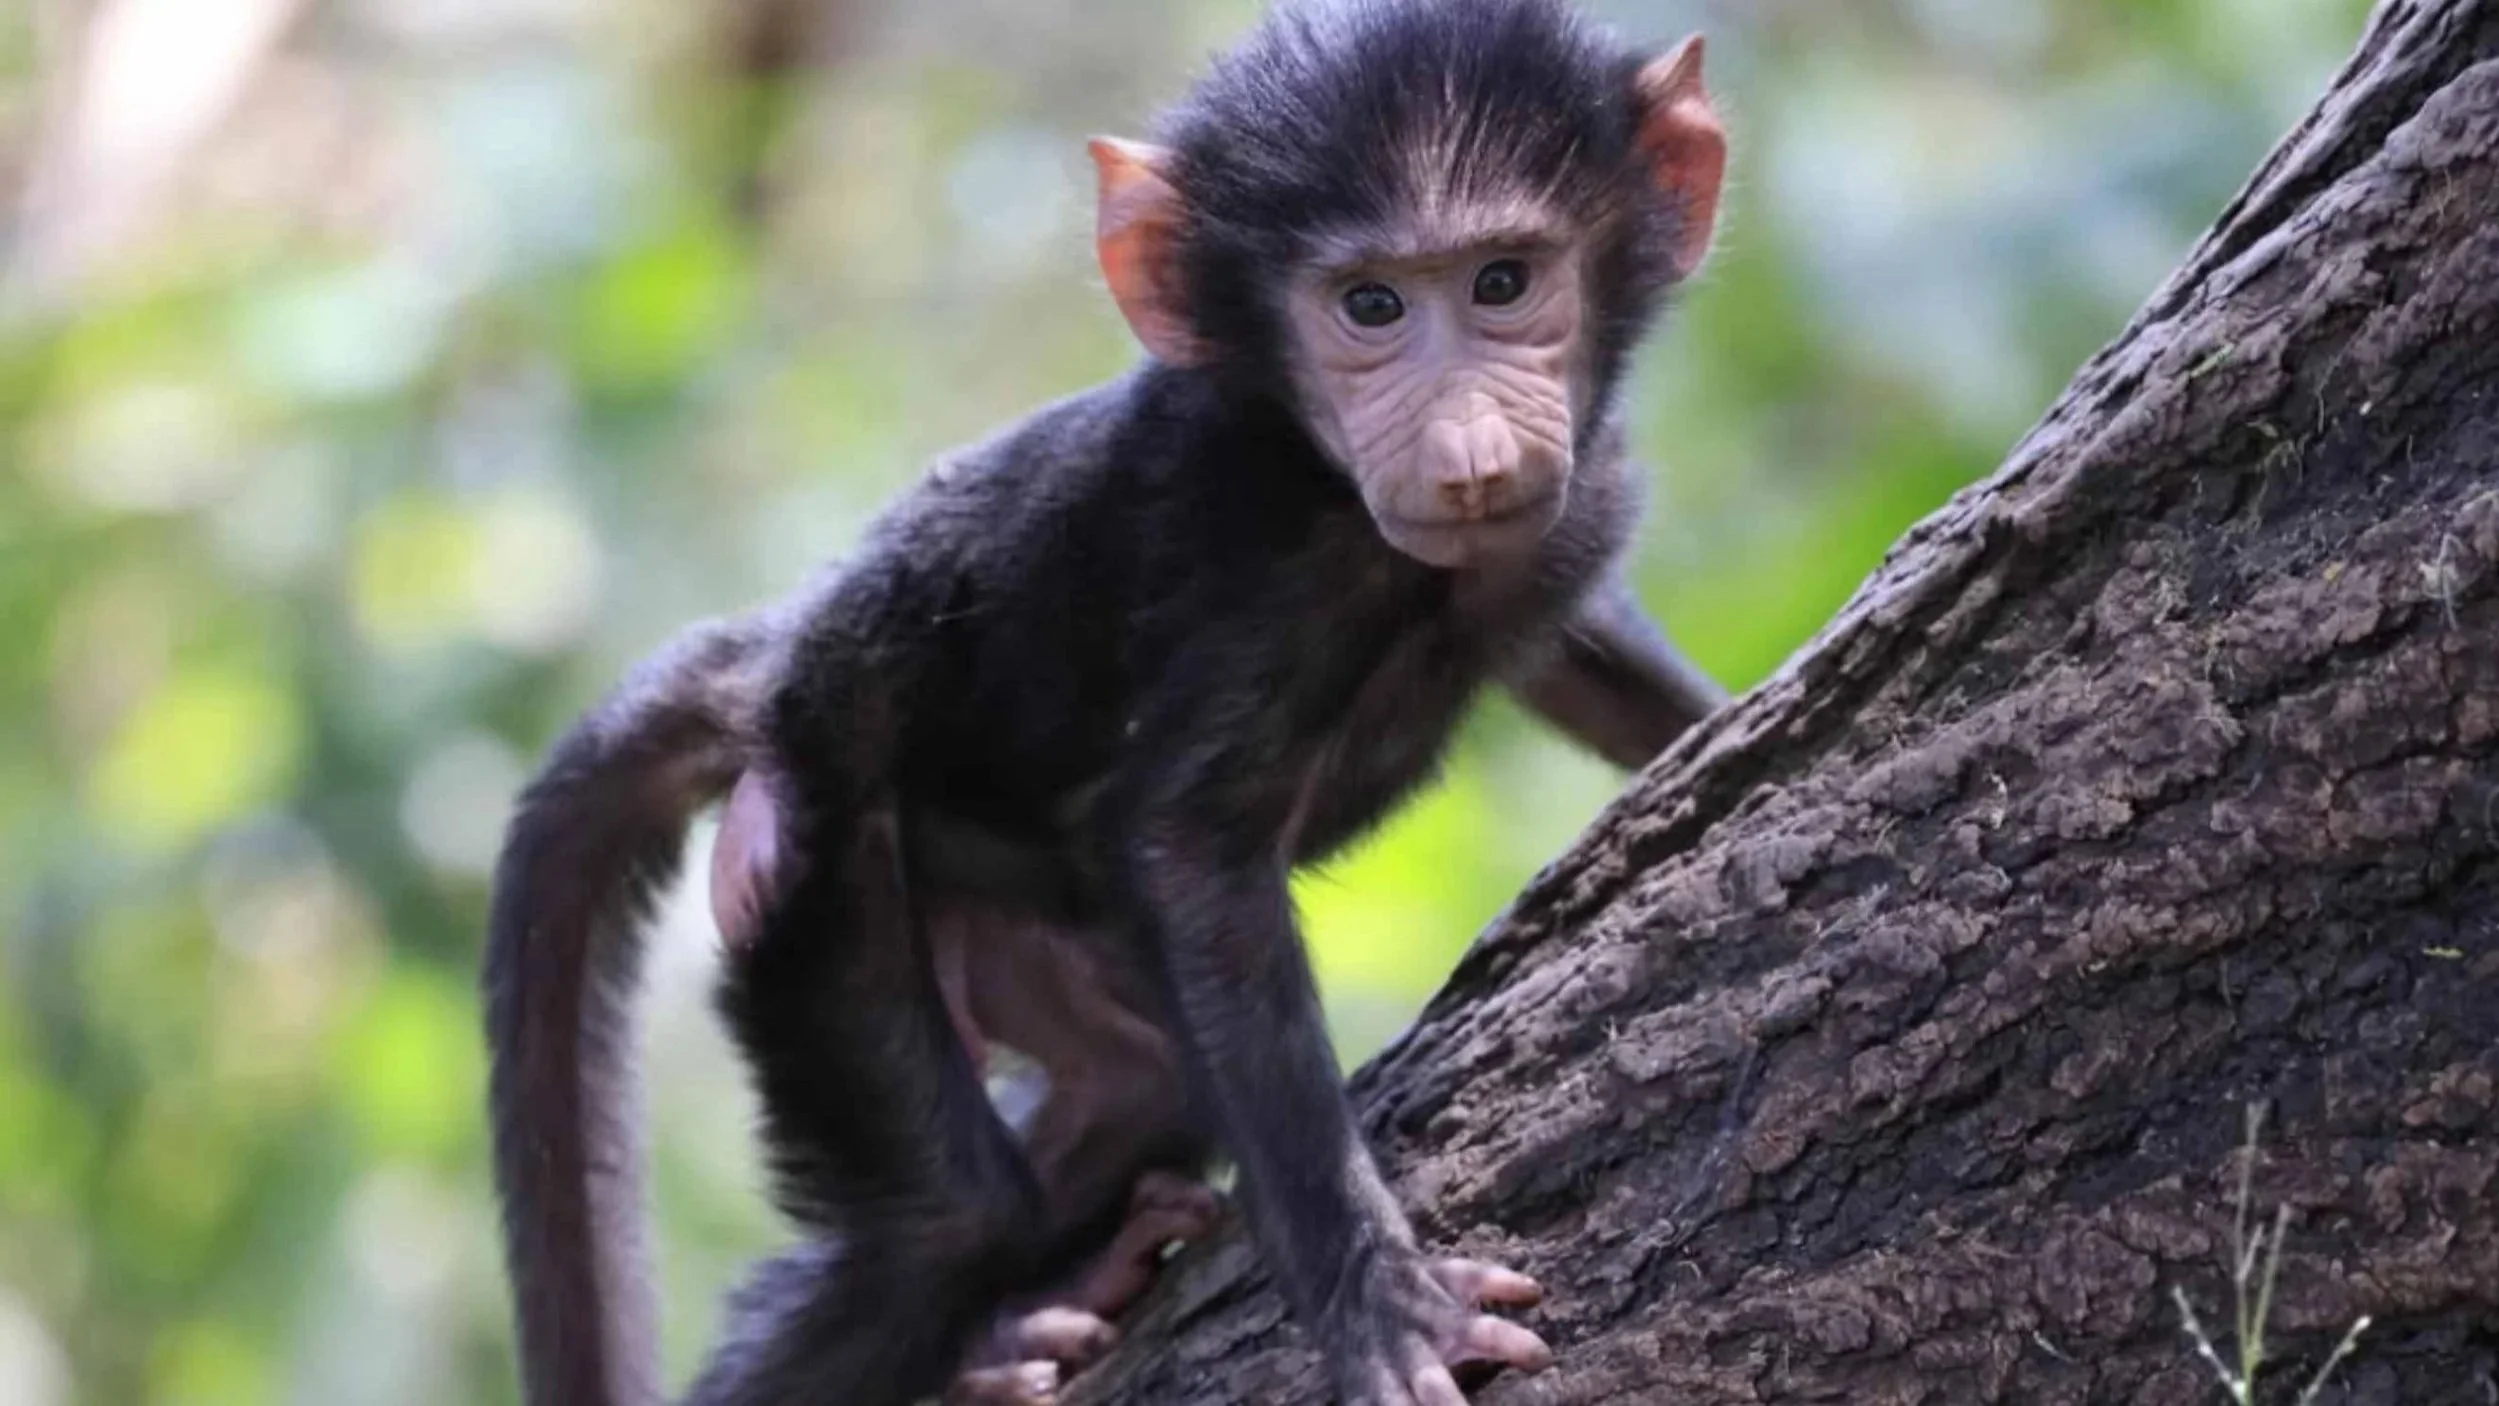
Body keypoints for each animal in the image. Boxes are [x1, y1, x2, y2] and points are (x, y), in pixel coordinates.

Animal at [481, 2, 1731, 1404]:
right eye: (1369, 304)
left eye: (1502, 282)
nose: (1465, 450)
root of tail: (771, 661)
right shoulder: (1242, 558)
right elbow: (1187, 851)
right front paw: (1380, 1297)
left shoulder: (1576, 504)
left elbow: (1594, 656)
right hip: (811, 859)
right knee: (949, 1213)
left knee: (1134, 1084)